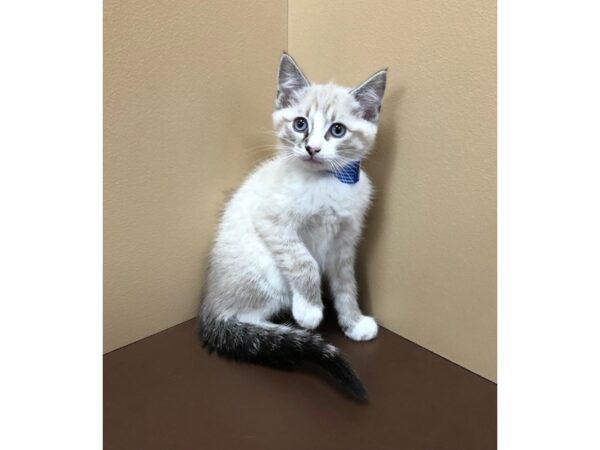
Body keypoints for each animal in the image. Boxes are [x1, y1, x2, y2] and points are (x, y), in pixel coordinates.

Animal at [200, 53, 390, 400]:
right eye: (300, 124)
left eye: (337, 130)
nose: (311, 148)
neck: (326, 181)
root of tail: (208, 302)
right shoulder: (272, 222)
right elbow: (305, 264)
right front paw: (311, 310)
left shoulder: (345, 241)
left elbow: (346, 284)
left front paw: (353, 322)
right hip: (265, 272)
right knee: (237, 316)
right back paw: (288, 330)